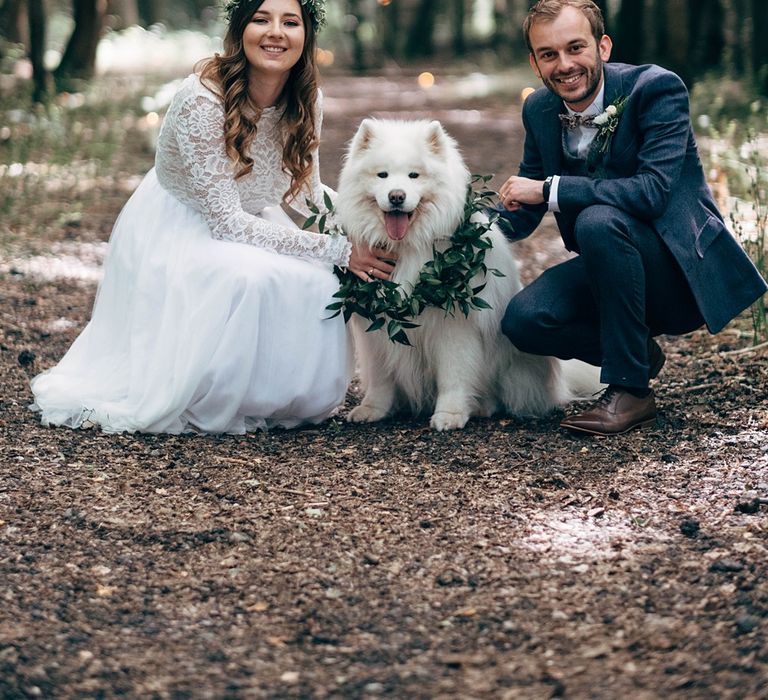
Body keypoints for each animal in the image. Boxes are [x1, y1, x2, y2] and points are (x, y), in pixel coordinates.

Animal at [336, 117, 600, 430]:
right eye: (382, 175)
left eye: (414, 175)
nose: (396, 196)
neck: (408, 245)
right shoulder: (378, 329)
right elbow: (381, 378)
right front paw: (372, 409)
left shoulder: (454, 327)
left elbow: (454, 374)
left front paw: (450, 414)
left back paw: (482, 406)